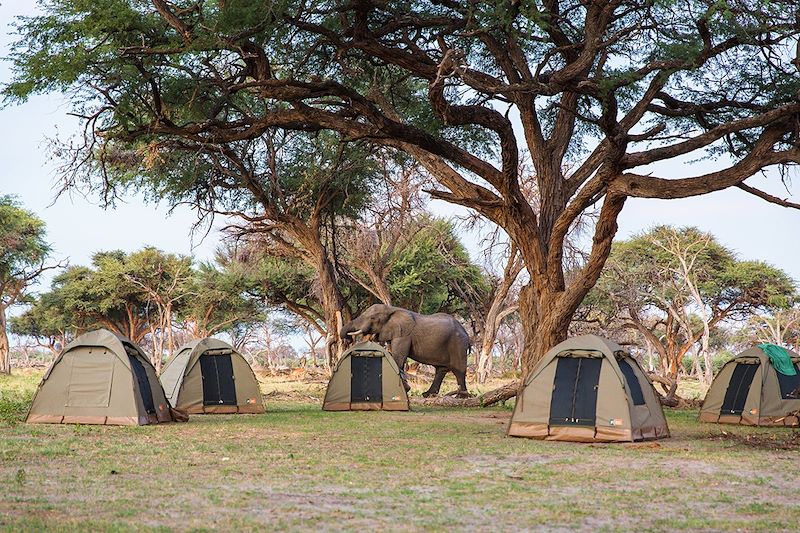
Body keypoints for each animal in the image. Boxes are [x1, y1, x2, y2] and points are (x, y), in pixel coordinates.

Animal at [338, 304, 468, 394]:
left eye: (373, 318)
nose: (348, 340)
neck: (391, 309)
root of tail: (464, 330)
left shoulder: (403, 335)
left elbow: (398, 358)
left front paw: (406, 389)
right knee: (441, 370)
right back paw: (428, 395)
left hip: (458, 343)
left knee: (459, 370)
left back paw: (461, 396)